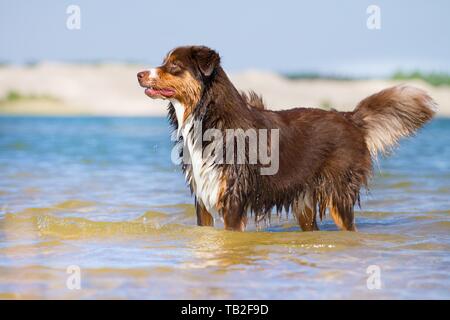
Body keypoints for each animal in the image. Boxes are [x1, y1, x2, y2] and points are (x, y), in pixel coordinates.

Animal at [137, 45, 436, 231]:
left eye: (174, 66)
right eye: (164, 62)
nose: (139, 74)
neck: (206, 116)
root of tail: (349, 117)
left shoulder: (232, 199)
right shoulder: (203, 197)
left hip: (338, 193)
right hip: (304, 202)